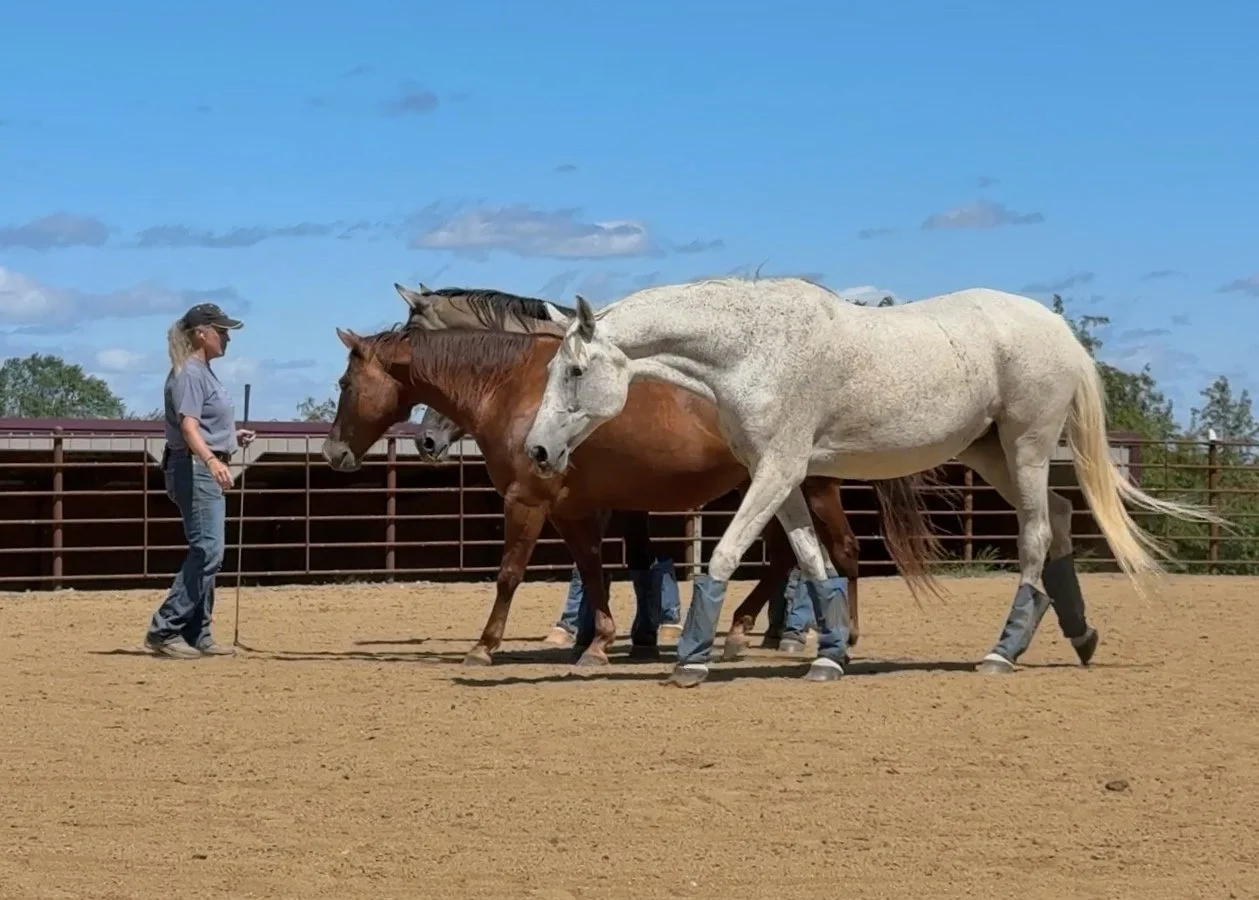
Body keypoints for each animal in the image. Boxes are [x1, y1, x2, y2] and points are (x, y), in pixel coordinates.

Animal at [321, 317, 944, 668]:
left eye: (346, 382)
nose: (333, 454)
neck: (516, 388)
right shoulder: (572, 507)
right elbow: (594, 571)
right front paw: (595, 644)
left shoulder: (528, 500)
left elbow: (509, 575)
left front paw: (484, 647)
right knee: (788, 558)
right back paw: (742, 631)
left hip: (810, 486)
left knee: (841, 552)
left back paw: (840, 634)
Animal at [522, 276, 1225, 687]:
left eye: (575, 371)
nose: (538, 449)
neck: (752, 349)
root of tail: (1057, 331)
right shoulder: (781, 476)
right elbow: (811, 563)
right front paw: (829, 655)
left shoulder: (778, 471)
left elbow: (723, 556)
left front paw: (692, 659)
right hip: (991, 456)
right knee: (1055, 521)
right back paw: (1079, 637)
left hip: (1025, 449)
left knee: (1034, 536)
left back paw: (1001, 653)